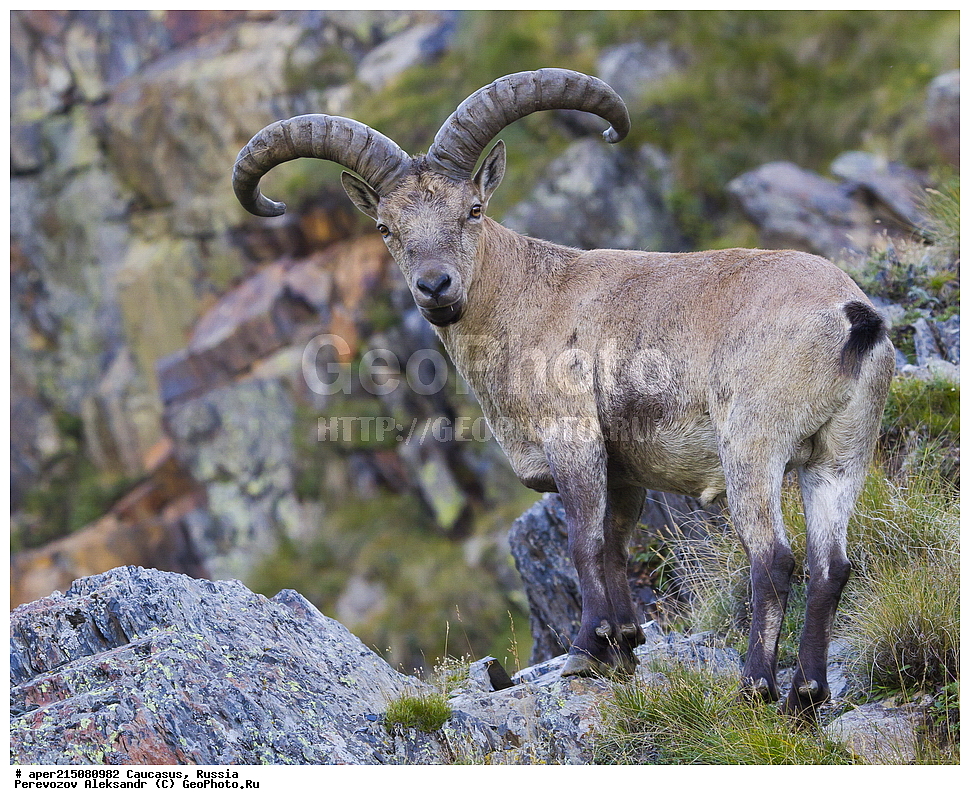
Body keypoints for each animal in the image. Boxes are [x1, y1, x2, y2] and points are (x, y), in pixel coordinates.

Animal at [233, 68, 894, 718]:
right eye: (385, 227)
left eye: (473, 209)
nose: (435, 286)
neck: (526, 296)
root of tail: (852, 316)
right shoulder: (625, 470)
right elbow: (614, 545)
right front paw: (622, 645)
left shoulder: (573, 436)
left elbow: (583, 541)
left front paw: (584, 649)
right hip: (838, 455)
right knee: (831, 566)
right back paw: (807, 695)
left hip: (752, 445)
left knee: (773, 558)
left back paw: (755, 687)